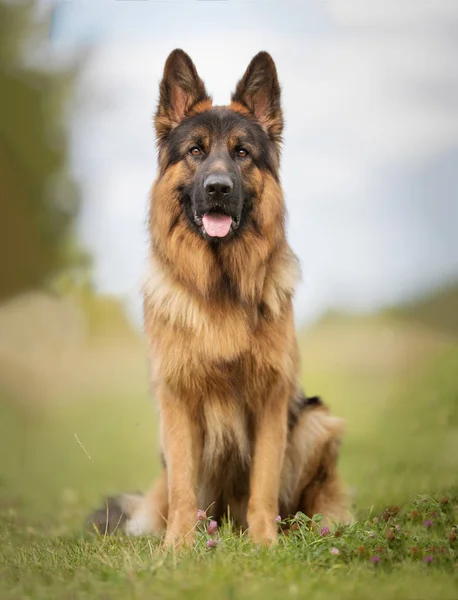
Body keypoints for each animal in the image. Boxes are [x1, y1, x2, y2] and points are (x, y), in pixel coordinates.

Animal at [87, 50, 348, 548]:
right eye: (196, 151)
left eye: (242, 153)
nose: (218, 188)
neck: (220, 285)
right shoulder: (178, 400)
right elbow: (183, 487)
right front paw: (178, 548)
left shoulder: (270, 399)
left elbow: (263, 484)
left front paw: (265, 544)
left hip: (316, 420)